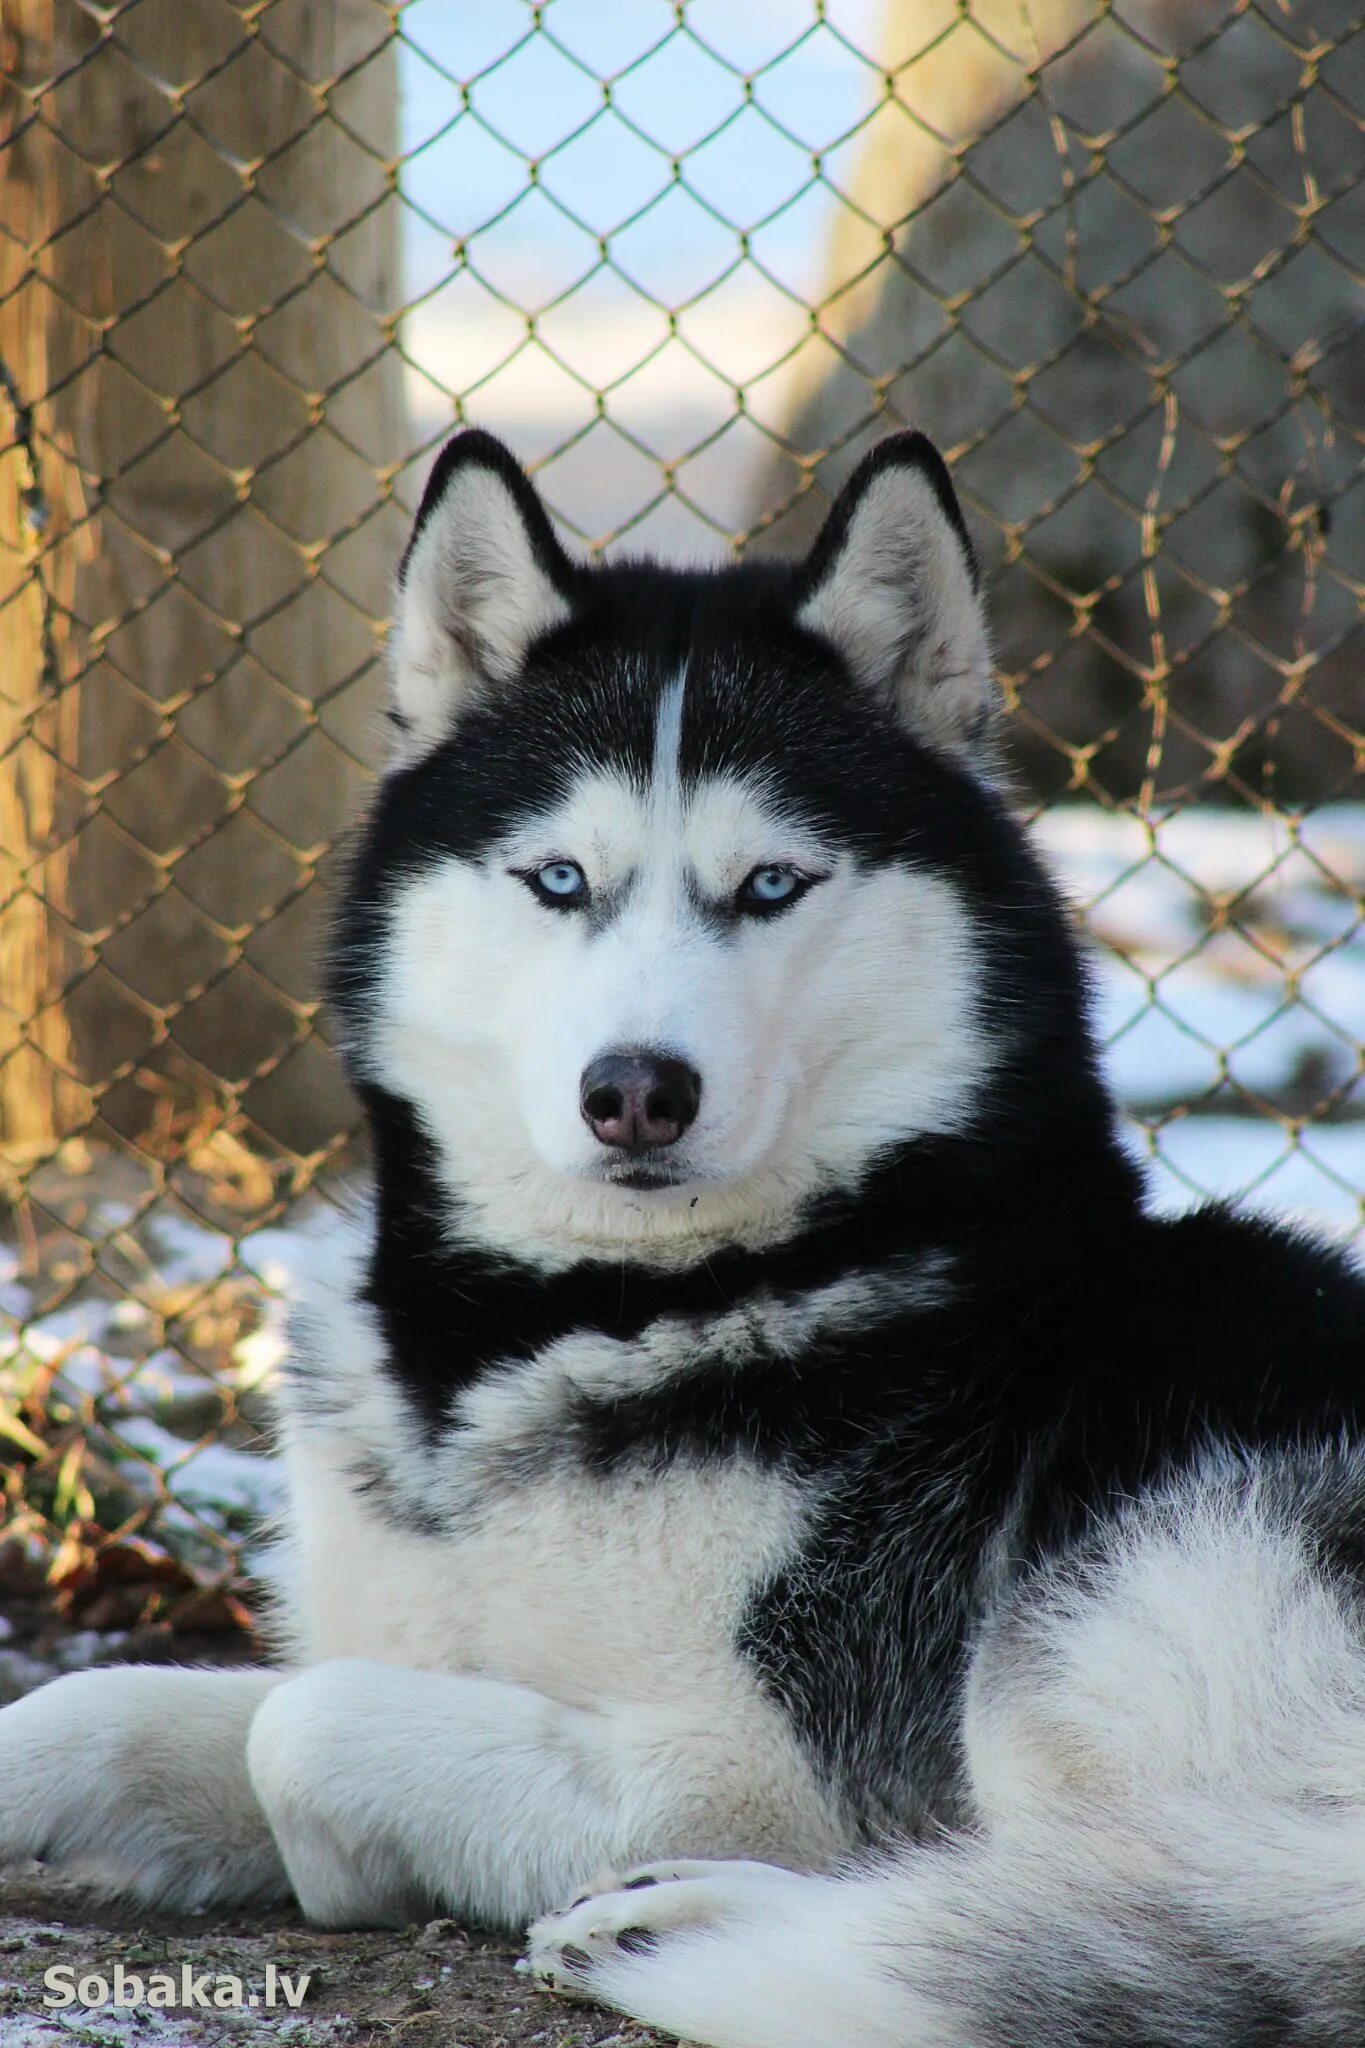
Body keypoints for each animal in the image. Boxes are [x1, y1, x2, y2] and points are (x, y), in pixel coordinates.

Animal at [2, 436, 1365, 2048]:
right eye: (558, 879)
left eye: (769, 882)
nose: (637, 1089)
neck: (564, 1325)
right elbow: (101, 1705)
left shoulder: (763, 1760)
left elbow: (303, 1726)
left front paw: (350, 1862)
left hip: (1112, 1602)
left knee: (1152, 1885)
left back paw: (710, 1926)